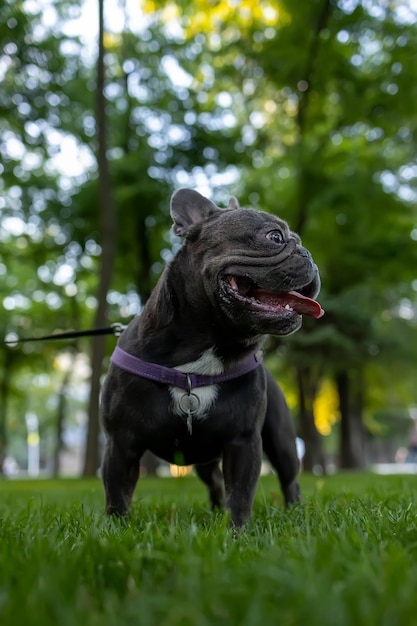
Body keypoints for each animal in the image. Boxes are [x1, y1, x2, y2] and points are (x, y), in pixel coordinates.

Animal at [101, 188, 322, 524]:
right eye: (275, 237)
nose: (308, 254)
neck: (210, 344)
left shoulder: (243, 441)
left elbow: (241, 494)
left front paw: (237, 531)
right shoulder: (120, 443)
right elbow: (117, 495)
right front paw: (116, 529)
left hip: (281, 440)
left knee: (289, 478)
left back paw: (294, 511)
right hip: (202, 458)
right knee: (215, 482)